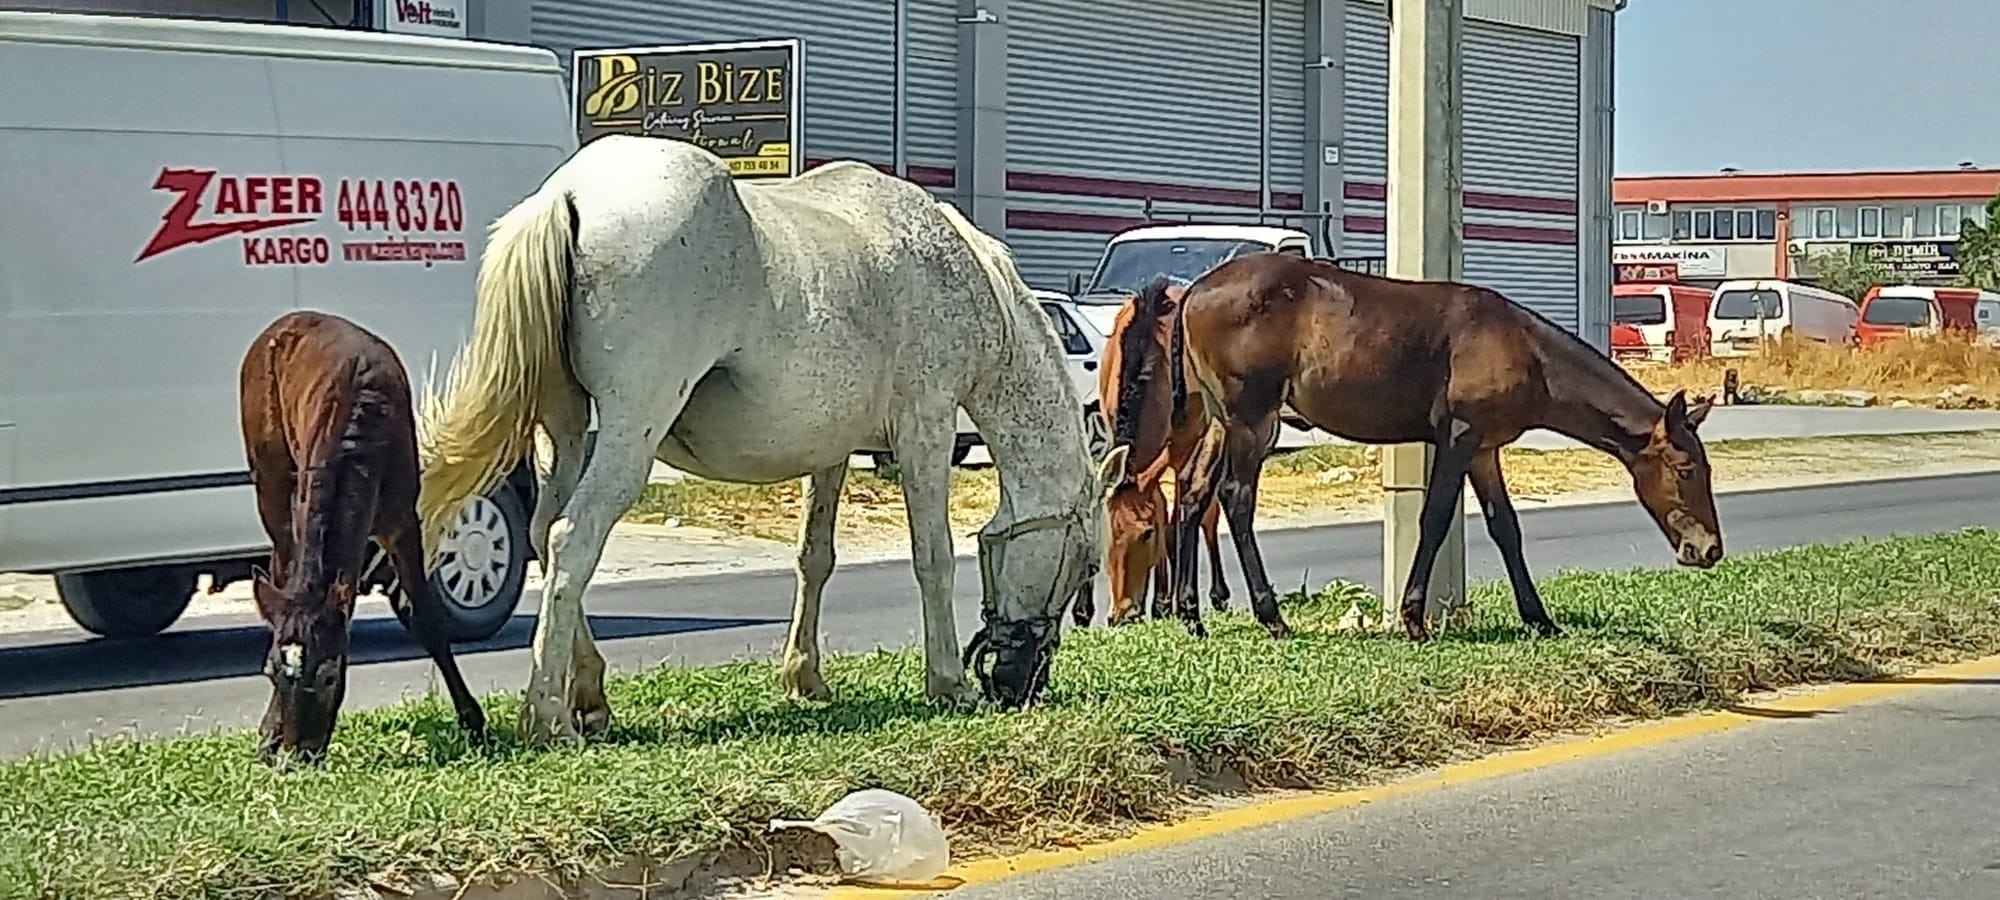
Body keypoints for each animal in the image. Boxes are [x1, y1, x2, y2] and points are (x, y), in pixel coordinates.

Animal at [418, 134, 1128, 740]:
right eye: (1087, 562)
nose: (1020, 683)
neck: (962, 273)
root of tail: (569, 194)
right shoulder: (924, 427)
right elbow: (932, 555)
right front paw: (948, 682)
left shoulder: (833, 452)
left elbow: (815, 557)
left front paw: (804, 675)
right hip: (628, 433)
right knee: (572, 539)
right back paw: (549, 715)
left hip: (566, 432)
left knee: (544, 532)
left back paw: (589, 693)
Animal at [1072, 278, 1224, 628]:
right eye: (1106, 536)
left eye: (1146, 535)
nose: (1122, 615)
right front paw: (1083, 609)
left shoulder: (1184, 445)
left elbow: (1174, 523)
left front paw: (1173, 603)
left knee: (1206, 512)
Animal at [1168, 253, 1720, 644]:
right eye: (1686, 469)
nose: (1709, 549)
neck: (1526, 352)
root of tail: (1192, 291)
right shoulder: (1458, 437)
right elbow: (1434, 518)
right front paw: (1414, 618)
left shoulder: (1484, 449)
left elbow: (1506, 528)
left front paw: (1540, 619)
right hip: (1253, 419)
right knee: (1236, 497)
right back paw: (1271, 616)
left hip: (1220, 420)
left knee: (1193, 491)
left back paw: (1190, 614)